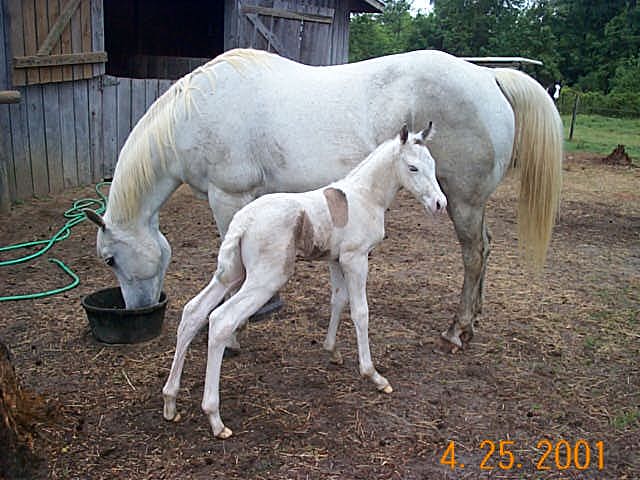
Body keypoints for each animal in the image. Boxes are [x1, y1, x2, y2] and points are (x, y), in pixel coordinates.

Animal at [86, 47, 564, 348]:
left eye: (110, 259)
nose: (140, 309)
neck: (194, 114)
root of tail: (487, 76)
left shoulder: (228, 198)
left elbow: (232, 269)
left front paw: (234, 331)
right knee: (485, 249)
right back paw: (473, 322)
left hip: (461, 201)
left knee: (473, 254)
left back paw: (456, 330)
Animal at [162, 124, 448, 438]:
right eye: (412, 167)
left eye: (433, 164)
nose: (440, 204)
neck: (364, 196)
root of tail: (242, 223)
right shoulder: (356, 258)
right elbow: (360, 312)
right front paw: (374, 375)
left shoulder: (336, 260)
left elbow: (338, 300)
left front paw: (332, 350)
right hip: (265, 279)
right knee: (221, 320)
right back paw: (215, 418)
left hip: (232, 273)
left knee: (193, 312)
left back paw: (170, 402)